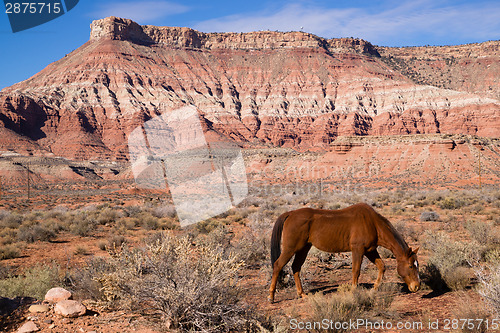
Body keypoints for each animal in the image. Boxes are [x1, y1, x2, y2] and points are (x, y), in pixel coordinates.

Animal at [268, 201, 420, 302]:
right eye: (410, 266)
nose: (416, 287)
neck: (372, 223)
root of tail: (290, 213)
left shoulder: (370, 251)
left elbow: (382, 266)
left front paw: (375, 288)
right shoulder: (358, 250)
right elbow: (356, 271)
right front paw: (353, 291)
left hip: (303, 249)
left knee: (295, 267)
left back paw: (302, 294)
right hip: (290, 249)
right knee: (278, 265)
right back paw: (271, 296)